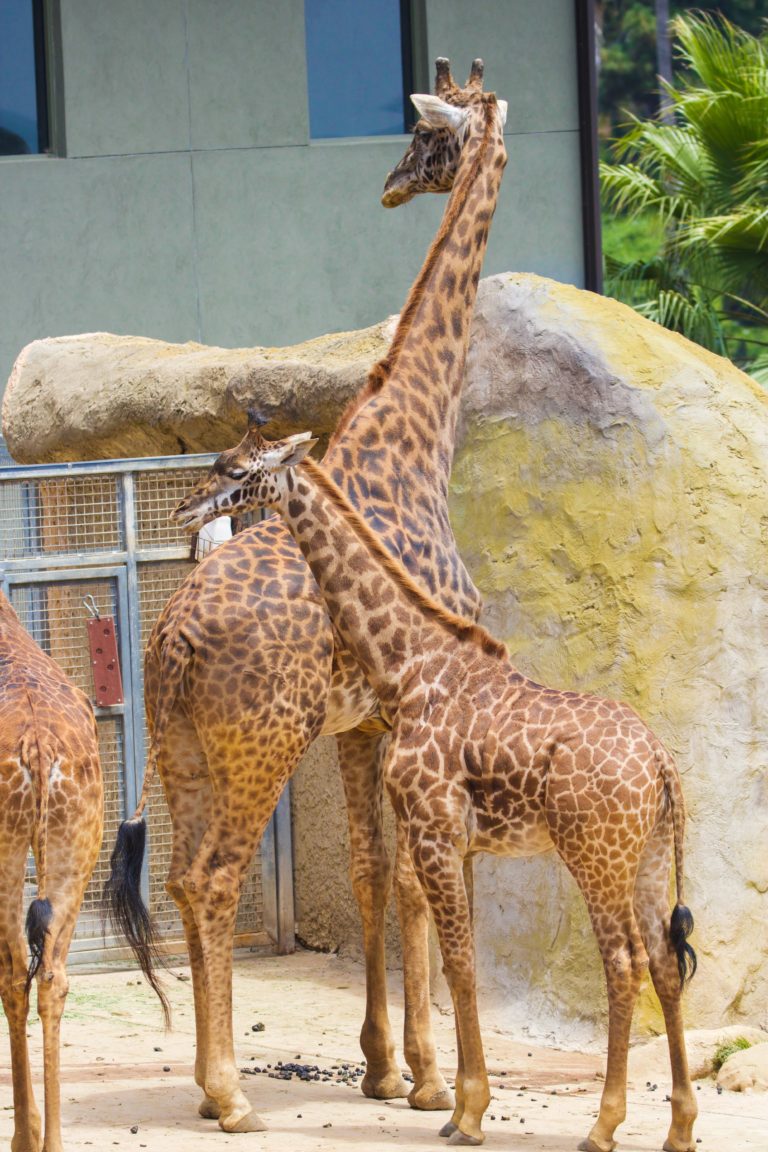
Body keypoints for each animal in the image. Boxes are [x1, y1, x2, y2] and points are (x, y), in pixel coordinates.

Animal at [106, 59, 508, 1133]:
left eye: (424, 140)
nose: (391, 186)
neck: (420, 437)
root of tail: (171, 640)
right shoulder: (397, 716)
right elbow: (410, 879)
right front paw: (431, 1077)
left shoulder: (360, 724)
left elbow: (371, 872)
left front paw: (383, 1067)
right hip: (262, 743)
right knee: (211, 880)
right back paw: (229, 1093)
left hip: (184, 748)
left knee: (175, 877)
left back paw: (209, 1084)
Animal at [172, 422, 699, 1152]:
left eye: (233, 468)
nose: (184, 508)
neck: (410, 664)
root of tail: (661, 764)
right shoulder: (457, 840)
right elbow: (460, 960)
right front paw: (456, 1097)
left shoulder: (435, 829)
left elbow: (458, 963)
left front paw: (466, 1110)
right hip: (646, 857)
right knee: (665, 963)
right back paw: (679, 1127)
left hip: (597, 856)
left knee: (623, 963)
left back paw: (603, 1125)